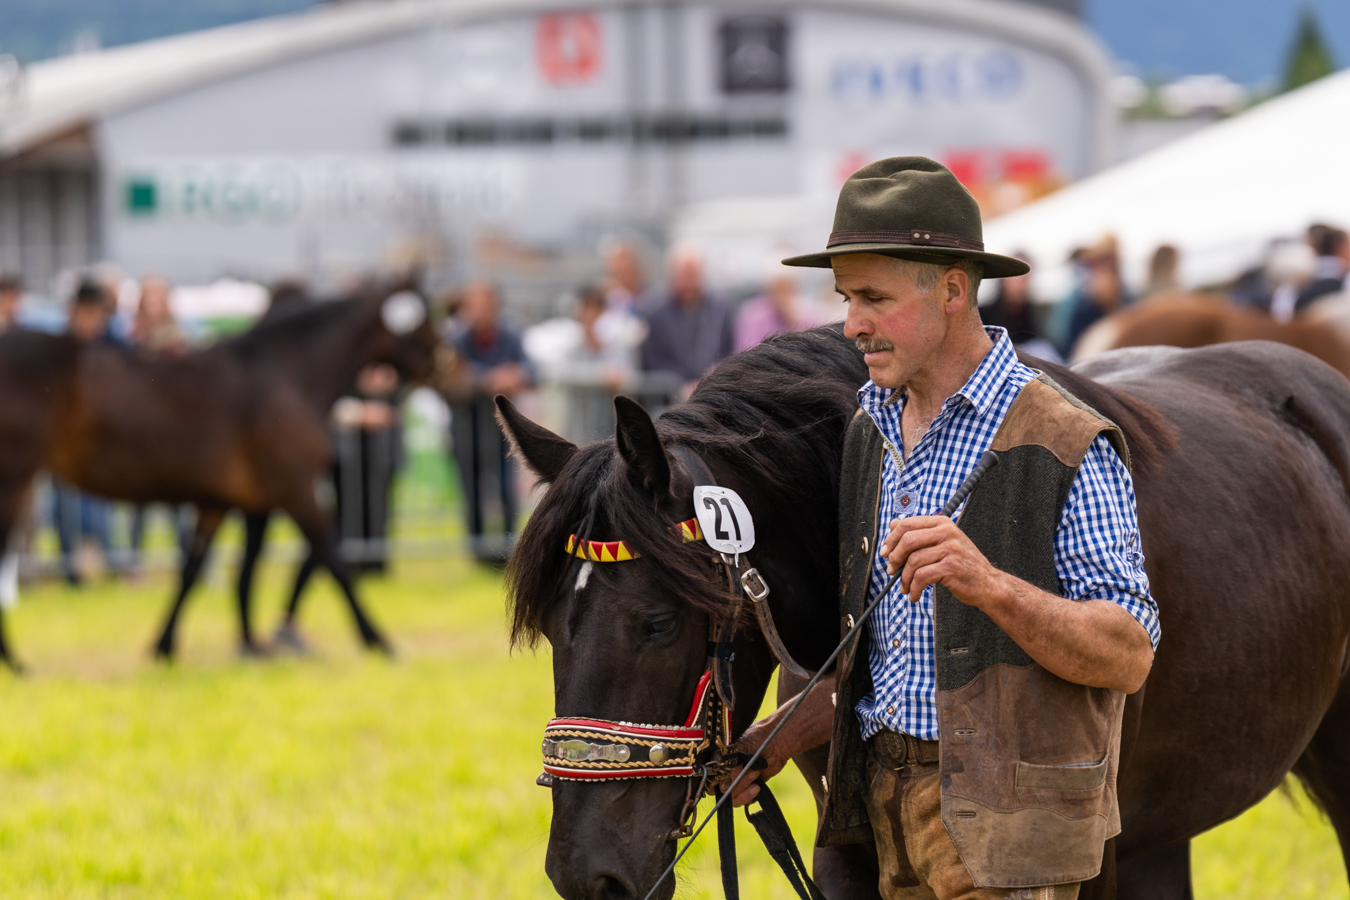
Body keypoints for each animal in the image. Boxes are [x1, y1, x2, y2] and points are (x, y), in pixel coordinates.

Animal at [0, 287, 438, 669]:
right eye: (427, 325)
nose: (450, 371)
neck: (287, 372)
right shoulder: (293, 489)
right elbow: (331, 558)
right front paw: (379, 641)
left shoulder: (229, 502)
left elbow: (202, 572)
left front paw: (172, 647)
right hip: (16, 480)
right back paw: (15, 663)